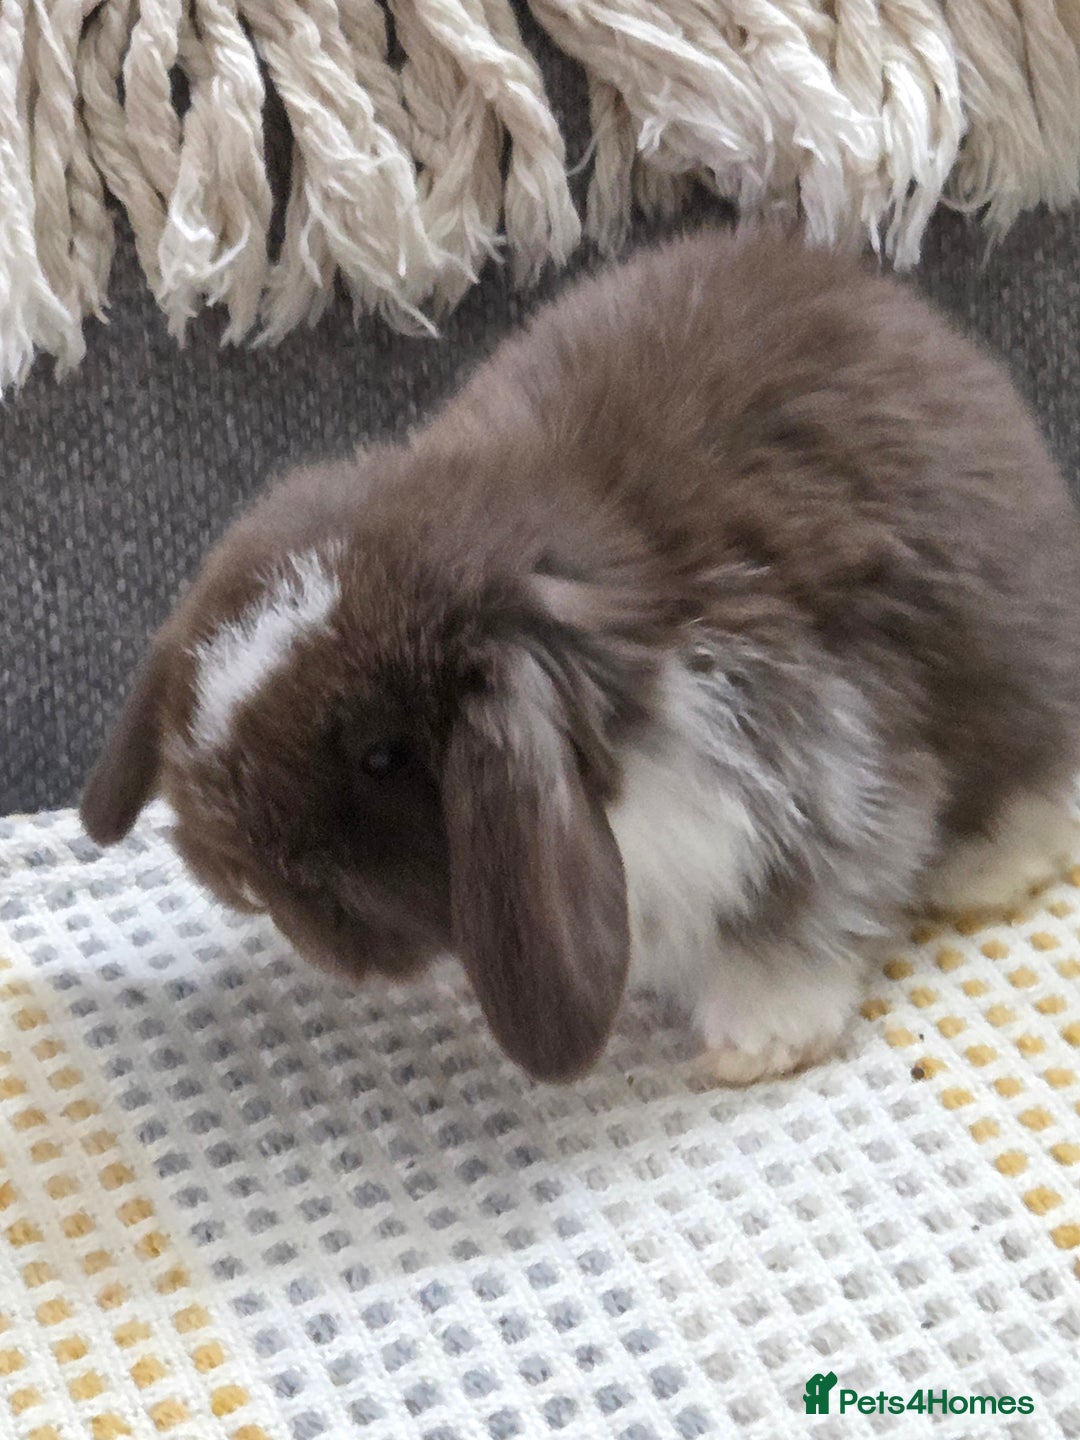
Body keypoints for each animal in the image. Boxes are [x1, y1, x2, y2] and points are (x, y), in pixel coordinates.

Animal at [80, 227, 1080, 1085]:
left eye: (382, 755)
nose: (241, 878)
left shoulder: (819, 751)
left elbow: (801, 904)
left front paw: (758, 1040)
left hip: (1012, 667)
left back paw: (984, 872)